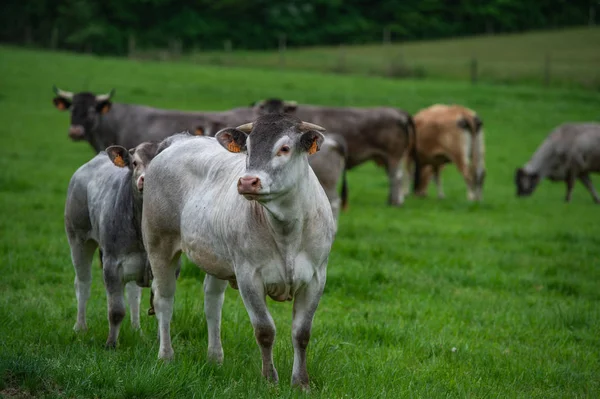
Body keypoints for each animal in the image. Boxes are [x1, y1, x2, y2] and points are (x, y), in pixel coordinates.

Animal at [65, 142, 159, 348]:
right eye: (134, 162)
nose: (146, 180)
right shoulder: (112, 264)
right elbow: (116, 311)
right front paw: (111, 344)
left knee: (133, 293)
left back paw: (136, 329)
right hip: (78, 238)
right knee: (82, 283)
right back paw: (80, 327)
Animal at [142, 113, 336, 390]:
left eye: (284, 148)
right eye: (249, 148)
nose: (247, 181)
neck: (286, 228)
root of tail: (177, 141)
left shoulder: (316, 277)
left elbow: (301, 333)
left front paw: (301, 382)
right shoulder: (249, 277)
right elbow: (265, 330)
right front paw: (269, 379)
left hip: (215, 259)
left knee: (212, 303)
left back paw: (215, 358)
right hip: (159, 244)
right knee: (164, 300)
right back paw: (166, 356)